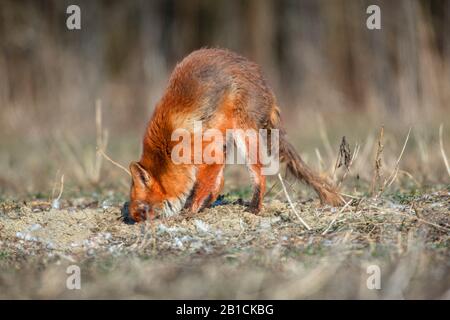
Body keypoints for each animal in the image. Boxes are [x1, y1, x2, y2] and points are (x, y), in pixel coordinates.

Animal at [128, 48, 342, 222]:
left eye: (141, 209)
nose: (136, 222)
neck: (167, 146)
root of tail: (265, 85)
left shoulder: (207, 153)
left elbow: (201, 187)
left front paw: (189, 212)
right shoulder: (213, 151)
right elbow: (214, 184)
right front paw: (200, 208)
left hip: (244, 136)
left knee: (259, 175)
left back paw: (254, 209)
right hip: (228, 140)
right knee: (223, 180)